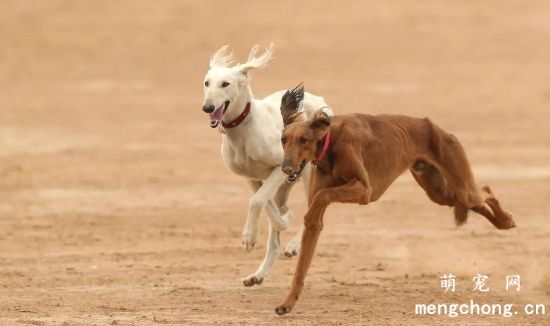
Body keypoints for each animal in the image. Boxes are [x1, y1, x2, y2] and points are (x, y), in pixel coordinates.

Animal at [202, 45, 332, 286]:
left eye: (225, 83)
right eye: (207, 83)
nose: (208, 107)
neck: (243, 129)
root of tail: (319, 100)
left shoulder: (281, 167)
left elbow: (257, 201)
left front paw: (249, 238)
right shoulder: (252, 177)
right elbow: (266, 206)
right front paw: (282, 219)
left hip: (309, 174)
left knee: (314, 212)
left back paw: (293, 246)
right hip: (286, 186)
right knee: (276, 237)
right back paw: (258, 274)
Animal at [274, 84, 516, 316]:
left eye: (303, 140)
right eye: (284, 140)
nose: (286, 168)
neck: (329, 142)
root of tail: (434, 127)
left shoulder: (364, 190)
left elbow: (322, 197)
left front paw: (311, 215)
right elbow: (302, 265)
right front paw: (287, 303)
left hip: (460, 183)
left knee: (484, 191)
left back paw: (506, 219)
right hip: (439, 192)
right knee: (475, 200)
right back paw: (502, 222)